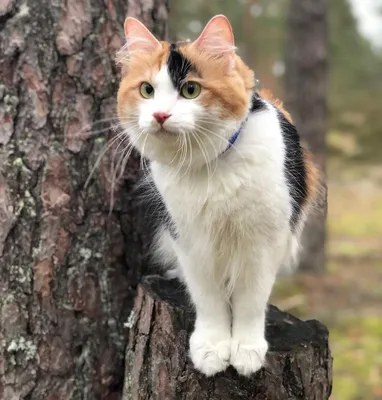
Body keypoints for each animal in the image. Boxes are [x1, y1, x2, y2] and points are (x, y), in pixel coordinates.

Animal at [117, 14, 320, 378]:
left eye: (191, 90)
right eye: (147, 90)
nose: (160, 116)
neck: (209, 168)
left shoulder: (263, 241)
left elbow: (251, 301)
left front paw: (246, 351)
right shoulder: (190, 241)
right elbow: (208, 299)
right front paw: (212, 348)